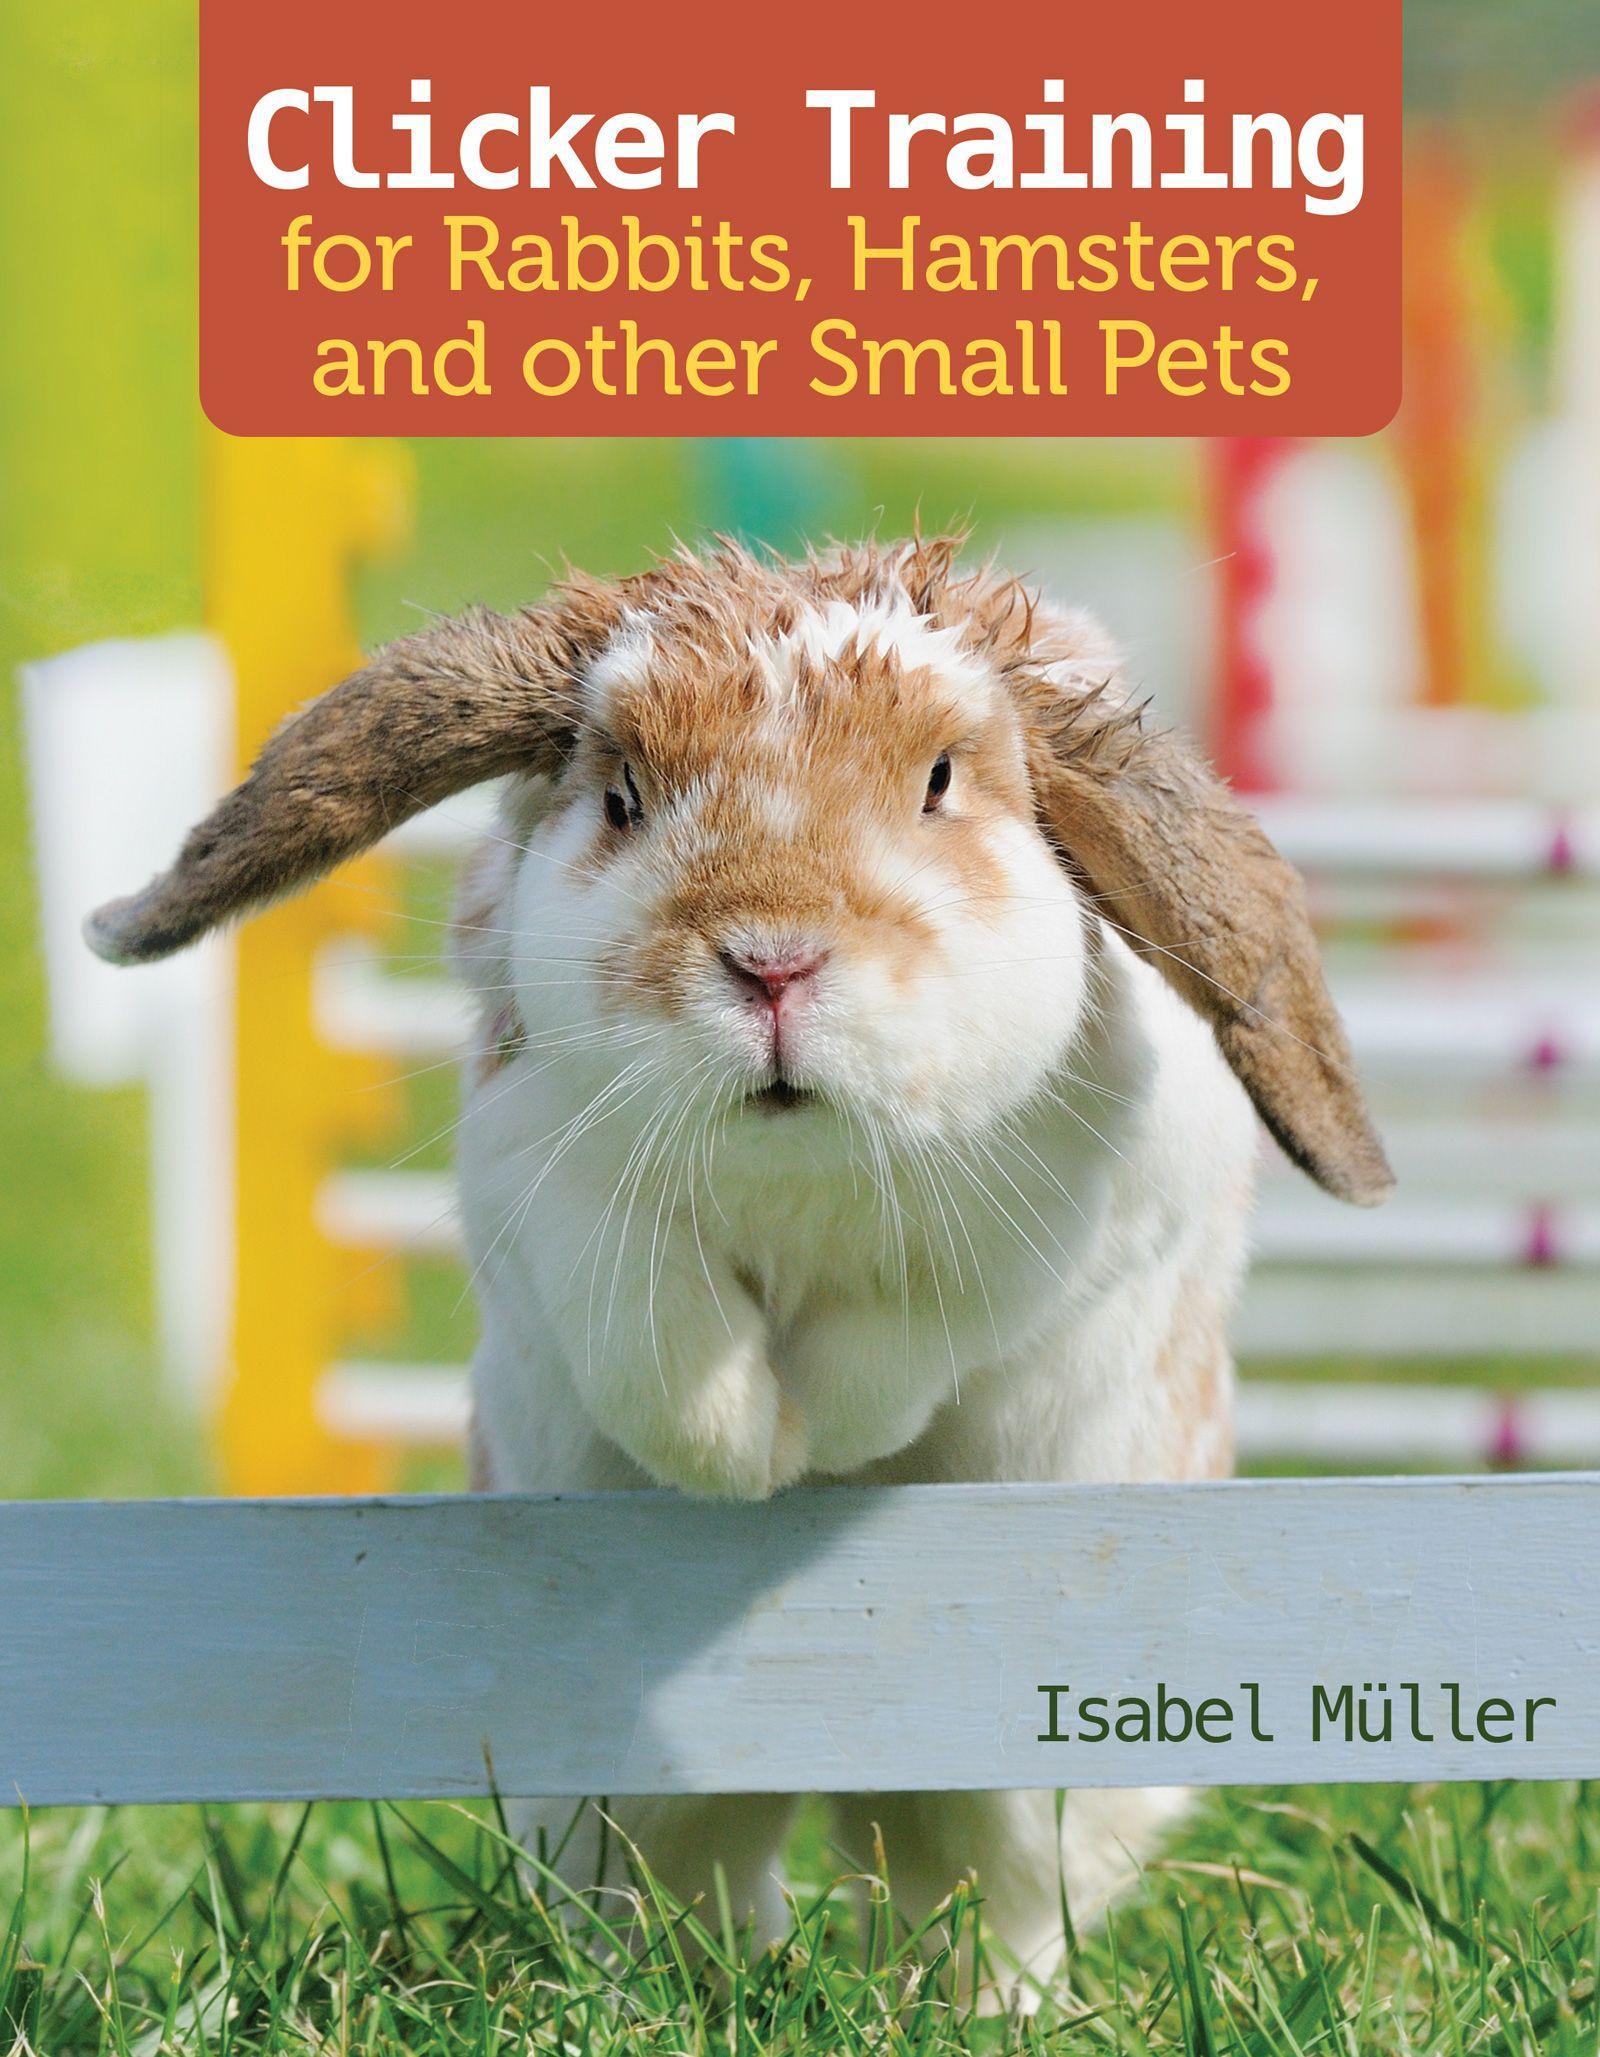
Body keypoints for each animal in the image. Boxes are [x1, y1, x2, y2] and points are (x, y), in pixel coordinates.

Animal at [86, 534, 1390, 2000]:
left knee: (971, 1882)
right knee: (686, 1860)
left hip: (1024, 1764)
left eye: (941, 781)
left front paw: (820, 1436)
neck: (796, 1165)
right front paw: (746, 1454)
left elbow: (915, 1327)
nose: (772, 958)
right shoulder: (549, 1193)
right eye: (622, 797)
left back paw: (956, 2001)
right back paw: (670, 1986)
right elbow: (656, 1341)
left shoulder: (1071, 1224)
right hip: (616, 1775)